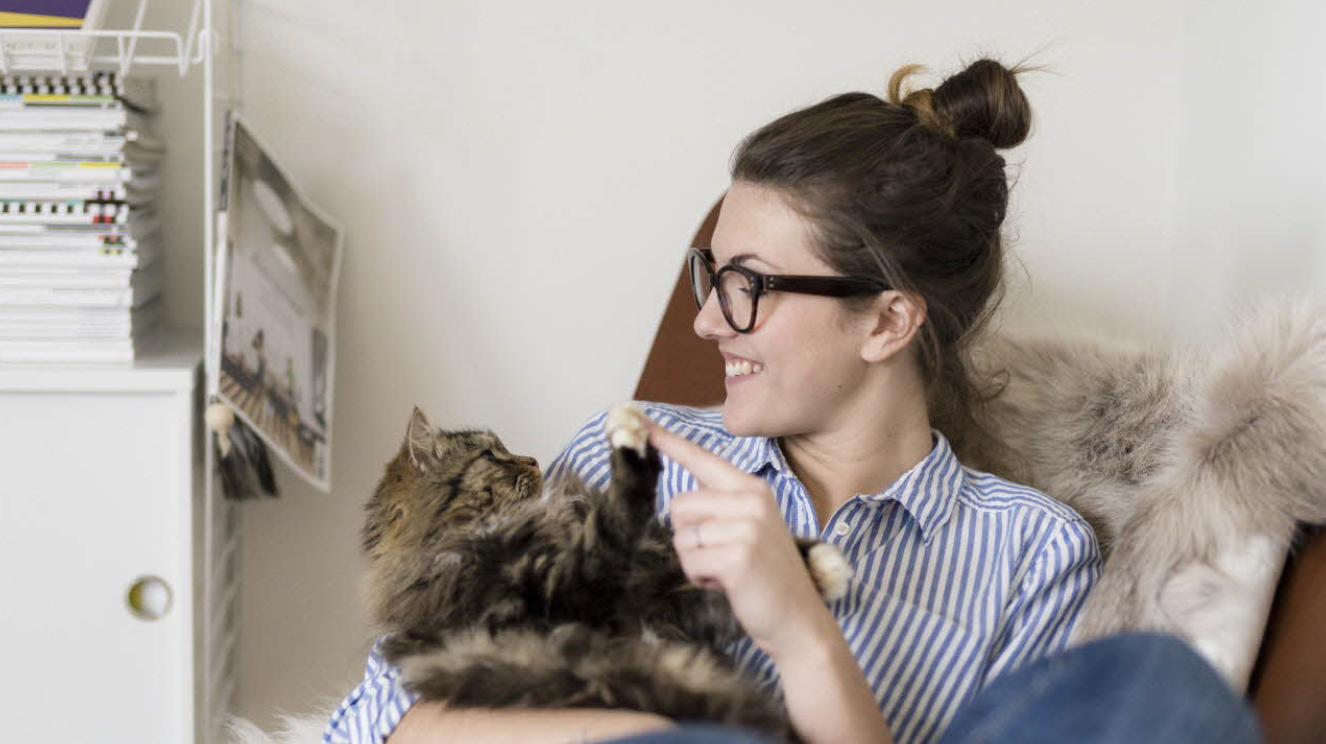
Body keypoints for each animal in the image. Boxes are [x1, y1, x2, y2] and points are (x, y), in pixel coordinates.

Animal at [361, 403, 852, 742]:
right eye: (492, 456)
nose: (533, 460)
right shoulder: (573, 588)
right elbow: (616, 522)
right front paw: (631, 446)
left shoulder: (663, 597)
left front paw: (811, 564)